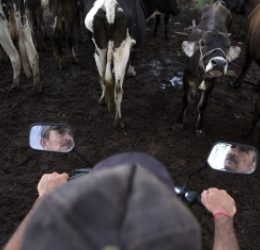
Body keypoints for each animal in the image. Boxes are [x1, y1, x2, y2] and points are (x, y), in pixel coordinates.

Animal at [178, 0, 241, 135]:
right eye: (202, 43)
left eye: (228, 45)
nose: (219, 63)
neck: (200, 74)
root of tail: (218, 3)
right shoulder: (186, 78)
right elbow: (185, 100)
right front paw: (180, 122)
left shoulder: (211, 83)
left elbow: (202, 105)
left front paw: (199, 127)